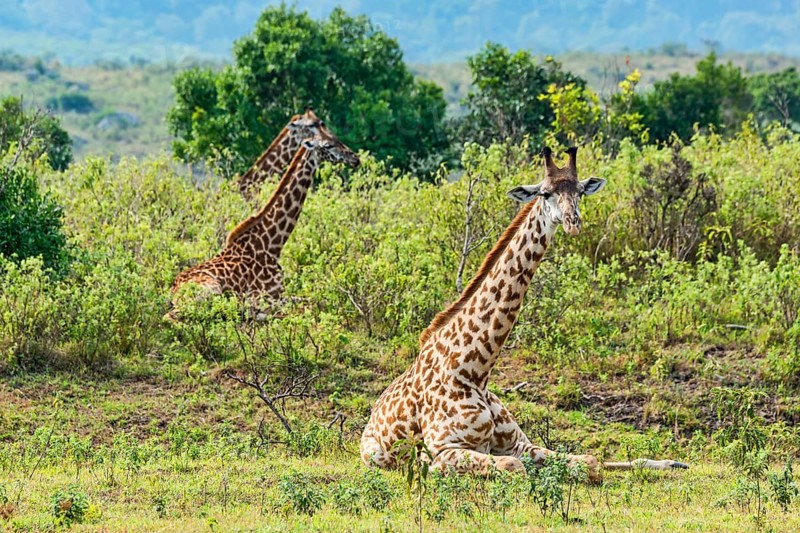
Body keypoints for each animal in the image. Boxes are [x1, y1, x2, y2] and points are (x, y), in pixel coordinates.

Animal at [166, 129, 360, 319]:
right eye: (328, 145)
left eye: (336, 138)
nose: (355, 158)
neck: (271, 244)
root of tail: (172, 290)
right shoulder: (263, 295)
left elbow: (317, 299)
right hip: (210, 291)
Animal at [360, 146, 688, 483]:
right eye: (545, 193)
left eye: (580, 191)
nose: (573, 222)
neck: (475, 370)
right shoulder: (439, 454)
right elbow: (514, 468)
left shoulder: (518, 443)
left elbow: (591, 462)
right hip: (379, 456)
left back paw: (672, 463)